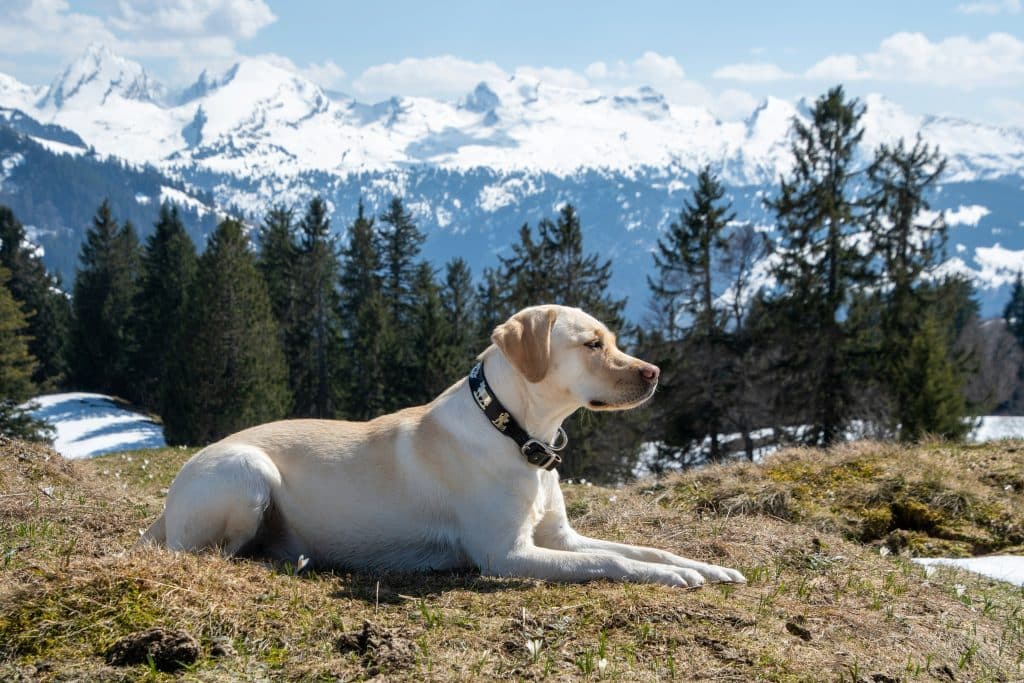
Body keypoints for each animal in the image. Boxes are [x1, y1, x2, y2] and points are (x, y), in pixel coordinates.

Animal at [140, 305, 745, 589]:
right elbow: (611, 561)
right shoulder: (508, 555)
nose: (654, 372)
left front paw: (704, 567)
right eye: (593, 344)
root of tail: (168, 501)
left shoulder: (559, 538)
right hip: (247, 474)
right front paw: (671, 578)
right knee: (207, 552)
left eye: (614, 340)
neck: (515, 432)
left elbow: (643, 549)